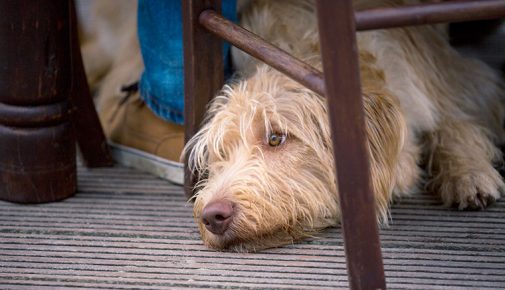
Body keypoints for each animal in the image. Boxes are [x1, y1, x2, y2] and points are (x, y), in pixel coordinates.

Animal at [184, 0, 504, 251]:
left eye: (276, 138)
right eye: (220, 154)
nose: (212, 216)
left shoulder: (444, 85)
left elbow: (455, 125)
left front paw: (469, 174)